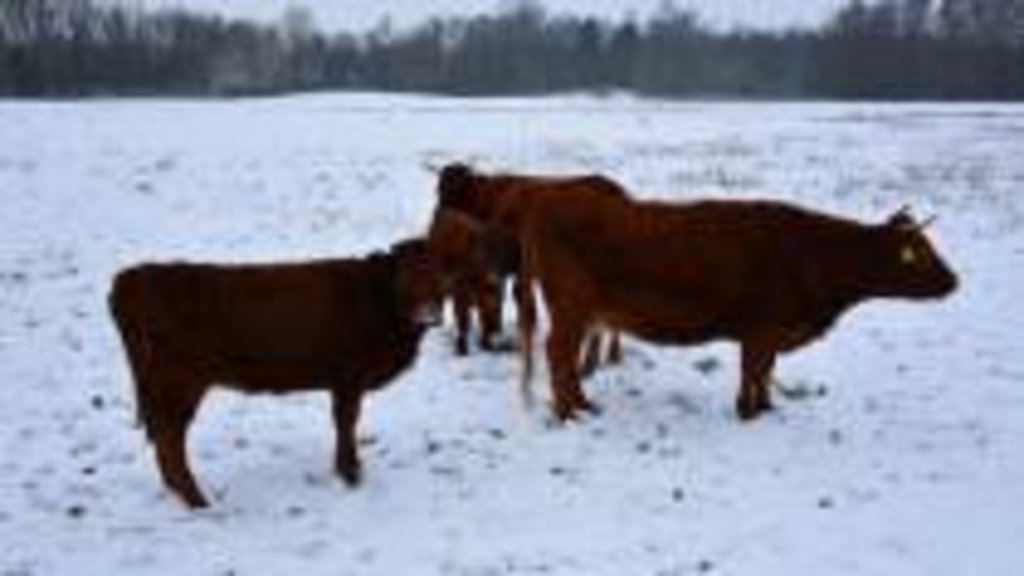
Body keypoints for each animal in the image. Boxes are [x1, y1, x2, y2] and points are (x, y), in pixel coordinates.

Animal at [110, 237, 442, 506]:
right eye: (407, 274)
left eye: (438, 275)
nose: (429, 310)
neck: (378, 300)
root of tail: (130, 279)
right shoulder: (349, 377)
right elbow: (347, 422)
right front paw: (350, 474)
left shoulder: (342, 381)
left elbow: (343, 423)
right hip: (179, 384)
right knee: (170, 440)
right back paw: (197, 501)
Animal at [520, 198, 958, 422]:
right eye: (917, 253)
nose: (954, 280)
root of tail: (547, 203)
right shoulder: (762, 329)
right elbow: (755, 371)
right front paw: (749, 411)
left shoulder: (763, 333)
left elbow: (762, 372)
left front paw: (763, 407)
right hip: (572, 306)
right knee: (558, 352)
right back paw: (568, 412)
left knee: (565, 357)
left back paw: (582, 404)